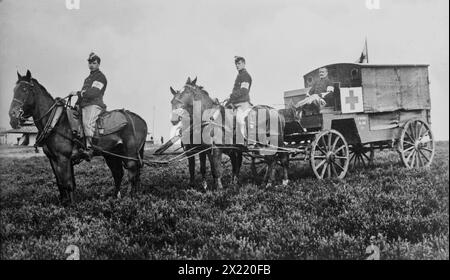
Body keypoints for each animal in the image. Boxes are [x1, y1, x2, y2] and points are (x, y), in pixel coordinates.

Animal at [8, 70, 148, 206]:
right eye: (14, 90)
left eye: (25, 89)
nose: (12, 115)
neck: (56, 121)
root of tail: (140, 119)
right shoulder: (53, 159)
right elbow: (61, 183)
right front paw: (63, 203)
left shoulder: (63, 158)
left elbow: (68, 183)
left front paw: (71, 206)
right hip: (112, 155)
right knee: (118, 174)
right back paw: (116, 198)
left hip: (130, 154)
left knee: (132, 174)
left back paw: (130, 198)